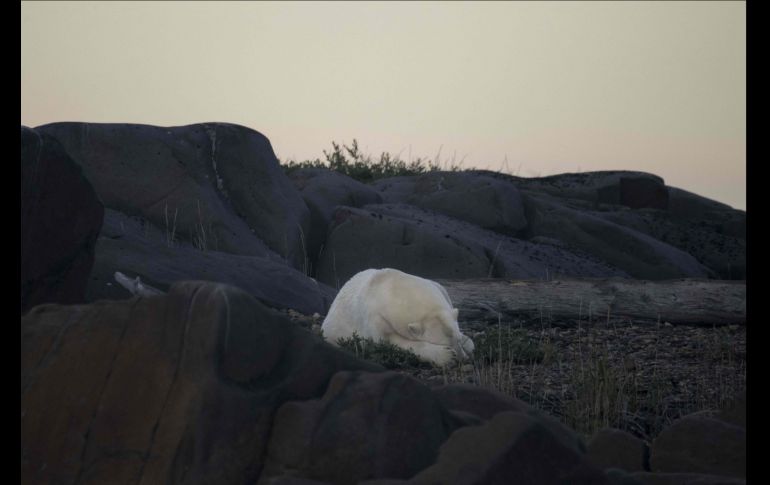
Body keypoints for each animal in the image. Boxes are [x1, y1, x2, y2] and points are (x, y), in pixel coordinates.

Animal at [321, 268, 475, 366]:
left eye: (457, 340)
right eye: (444, 344)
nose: (463, 359)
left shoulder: (437, 287)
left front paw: (467, 343)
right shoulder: (375, 318)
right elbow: (387, 342)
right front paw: (447, 356)